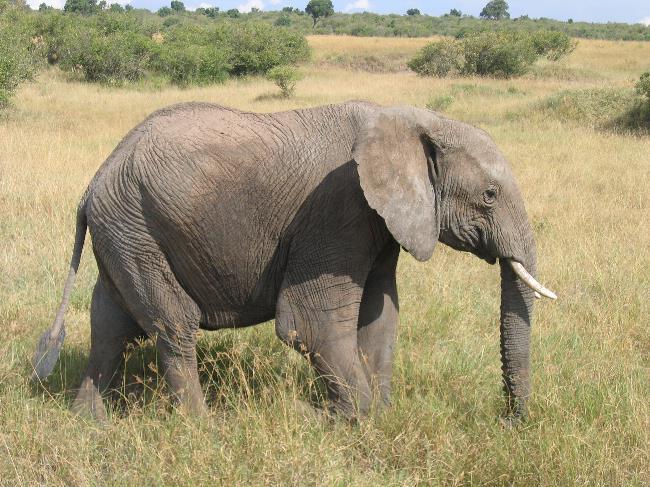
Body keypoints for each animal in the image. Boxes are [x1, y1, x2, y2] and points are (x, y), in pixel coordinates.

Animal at [30, 102, 556, 424]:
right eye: (489, 196)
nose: (509, 420)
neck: (409, 119)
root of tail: (95, 181)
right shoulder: (338, 209)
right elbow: (310, 324)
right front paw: (345, 419)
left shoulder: (381, 222)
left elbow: (380, 315)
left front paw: (378, 415)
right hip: (136, 227)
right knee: (173, 325)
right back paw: (204, 428)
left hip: (124, 233)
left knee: (109, 324)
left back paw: (89, 421)